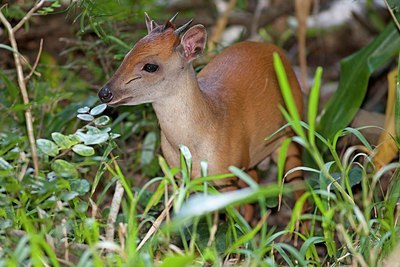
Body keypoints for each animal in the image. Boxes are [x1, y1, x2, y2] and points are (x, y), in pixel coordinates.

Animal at [99, 14, 304, 193]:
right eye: (127, 55)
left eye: (150, 66)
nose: (104, 93)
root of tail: (275, 49)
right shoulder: (183, 178)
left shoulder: (226, 176)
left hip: (289, 131)